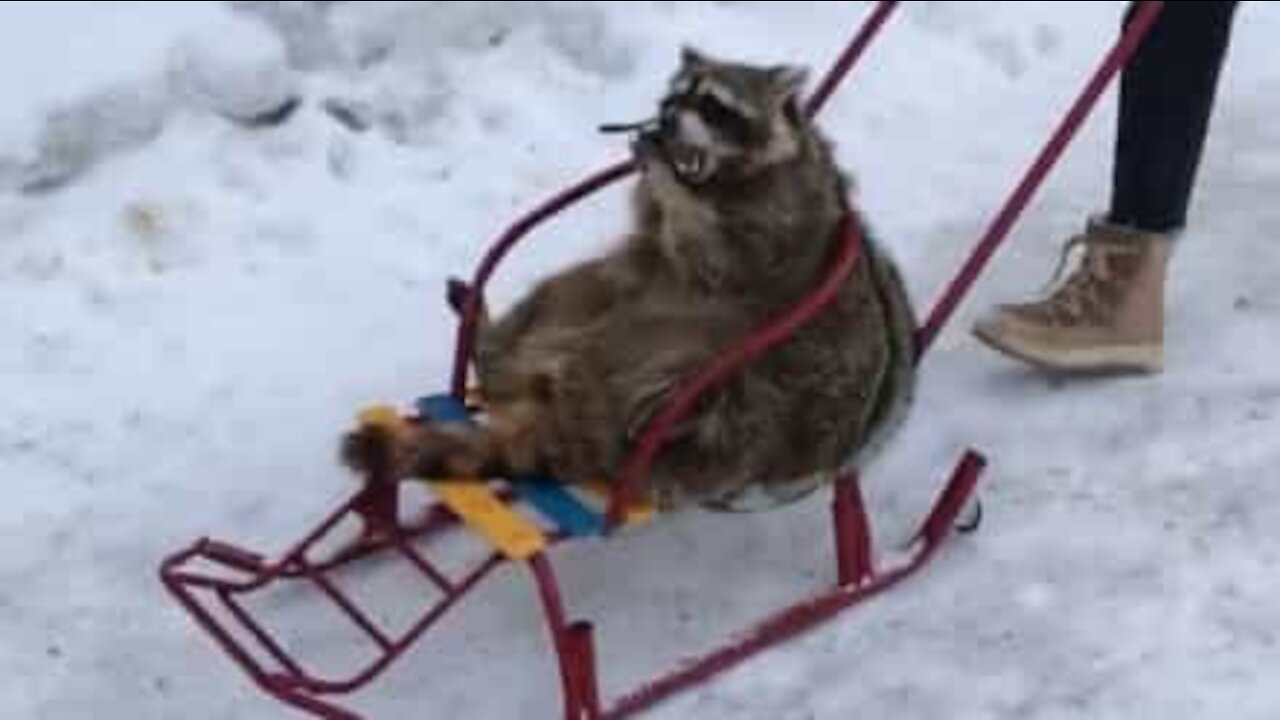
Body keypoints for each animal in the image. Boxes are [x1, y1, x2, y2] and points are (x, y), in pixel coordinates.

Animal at [343, 46, 921, 509]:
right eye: (674, 95)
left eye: (712, 105)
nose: (665, 117)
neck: (719, 183)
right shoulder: (657, 239)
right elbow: (650, 230)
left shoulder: (783, 233)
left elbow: (724, 260)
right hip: (608, 302)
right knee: (570, 295)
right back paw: (492, 349)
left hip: (722, 391)